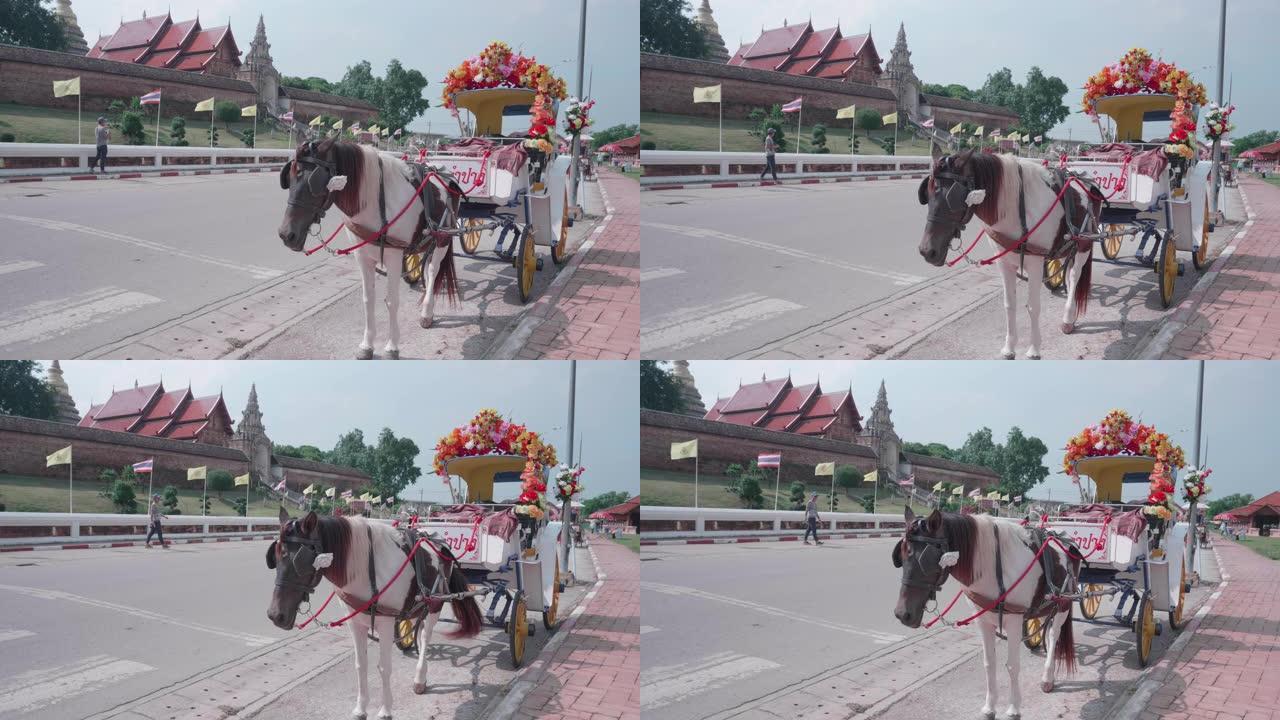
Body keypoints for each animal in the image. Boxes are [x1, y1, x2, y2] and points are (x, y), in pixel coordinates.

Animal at [262, 504, 481, 717]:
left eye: (300, 561)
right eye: (275, 557)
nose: (275, 615)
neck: (364, 571)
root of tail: (439, 543)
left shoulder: (386, 623)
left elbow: (384, 667)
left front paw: (385, 710)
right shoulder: (355, 622)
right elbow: (361, 665)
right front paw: (360, 708)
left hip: (436, 604)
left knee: (426, 637)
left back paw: (420, 677)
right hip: (419, 604)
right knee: (418, 628)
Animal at [277, 137, 463, 358]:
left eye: (313, 182)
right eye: (289, 178)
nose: (286, 235)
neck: (376, 202)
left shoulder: (394, 257)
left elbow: (392, 301)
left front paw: (392, 346)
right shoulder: (363, 256)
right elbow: (368, 299)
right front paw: (367, 345)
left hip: (443, 239)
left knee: (434, 271)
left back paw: (427, 312)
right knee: (426, 269)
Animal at [890, 504, 1080, 717]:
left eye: (926, 560)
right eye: (901, 556)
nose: (902, 614)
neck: (995, 568)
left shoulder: (1014, 621)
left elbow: (1013, 666)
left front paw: (1014, 707)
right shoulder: (983, 621)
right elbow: (989, 663)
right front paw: (990, 707)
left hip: (1063, 604)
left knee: (1054, 635)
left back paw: (1047, 677)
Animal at [916, 146, 1105, 358]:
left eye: (952, 198)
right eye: (927, 194)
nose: (926, 251)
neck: (1016, 208)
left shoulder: (1035, 263)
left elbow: (1033, 307)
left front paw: (1034, 349)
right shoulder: (1004, 263)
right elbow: (1009, 305)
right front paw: (1009, 347)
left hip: (1084, 244)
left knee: (1074, 275)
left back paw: (1067, 318)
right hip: (1070, 245)